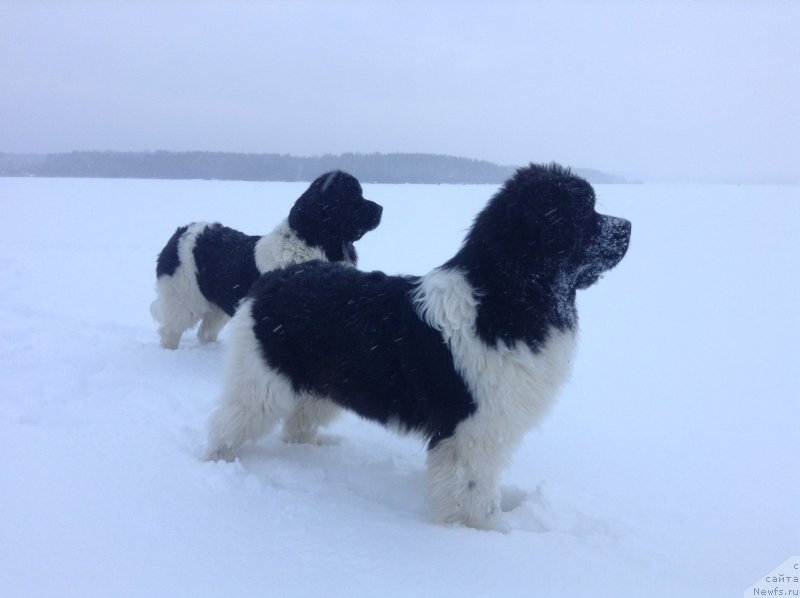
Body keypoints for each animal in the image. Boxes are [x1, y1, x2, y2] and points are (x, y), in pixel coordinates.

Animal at [154, 171, 388, 350]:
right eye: (354, 196)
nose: (381, 208)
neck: (311, 244)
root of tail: (183, 230)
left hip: (217, 305)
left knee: (205, 332)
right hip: (184, 298)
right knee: (170, 330)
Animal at [205, 163, 632, 528]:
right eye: (584, 212)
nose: (628, 226)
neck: (506, 299)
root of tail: (278, 277)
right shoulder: (471, 430)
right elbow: (474, 492)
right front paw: (483, 535)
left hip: (321, 385)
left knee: (298, 423)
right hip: (262, 383)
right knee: (228, 423)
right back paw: (216, 463)